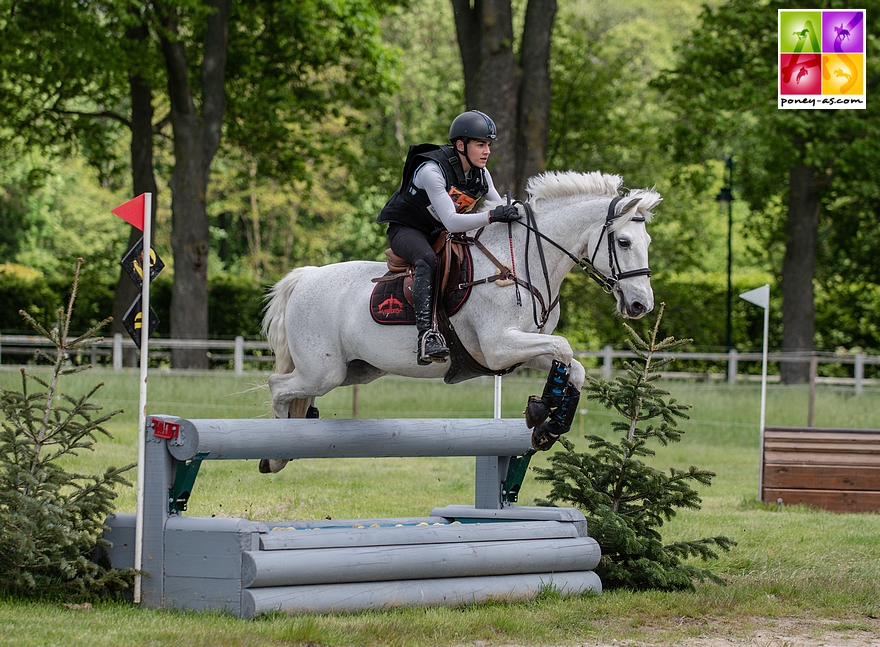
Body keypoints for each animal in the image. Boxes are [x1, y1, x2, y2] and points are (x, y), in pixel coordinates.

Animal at [262, 168, 660, 470]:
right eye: (624, 242)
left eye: (647, 242)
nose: (641, 305)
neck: (521, 262)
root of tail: (305, 277)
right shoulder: (500, 347)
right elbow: (564, 348)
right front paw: (540, 409)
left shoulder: (521, 348)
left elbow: (572, 366)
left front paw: (548, 424)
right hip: (324, 371)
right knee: (277, 385)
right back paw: (275, 454)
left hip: (356, 370)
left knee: (296, 390)